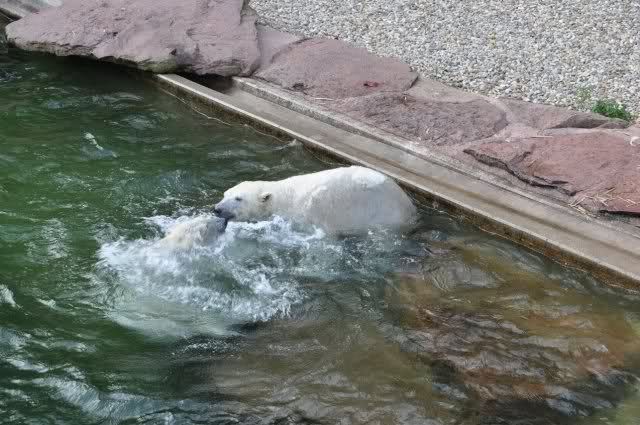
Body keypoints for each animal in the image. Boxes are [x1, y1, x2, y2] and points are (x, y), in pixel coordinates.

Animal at [214, 166, 417, 235]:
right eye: (225, 194)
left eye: (238, 198)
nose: (217, 209)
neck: (286, 196)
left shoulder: (312, 212)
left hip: (384, 214)